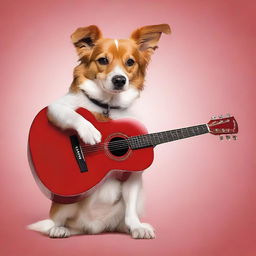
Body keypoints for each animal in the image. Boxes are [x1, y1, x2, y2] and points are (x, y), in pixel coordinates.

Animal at [28, 24, 171, 240]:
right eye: (103, 60)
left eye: (130, 62)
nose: (120, 80)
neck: (108, 105)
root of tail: (94, 228)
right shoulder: (55, 107)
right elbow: (72, 114)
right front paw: (89, 132)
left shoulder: (133, 175)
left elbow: (131, 209)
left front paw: (137, 227)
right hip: (63, 204)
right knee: (57, 221)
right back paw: (59, 229)